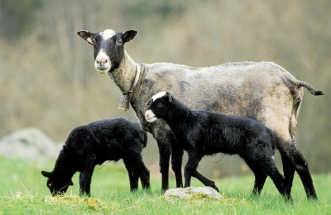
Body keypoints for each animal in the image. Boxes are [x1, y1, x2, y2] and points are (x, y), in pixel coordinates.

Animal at [147, 91, 292, 201]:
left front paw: (187, 189)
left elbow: (188, 169)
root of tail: (270, 134)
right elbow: (193, 169)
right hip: (250, 155)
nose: (146, 114)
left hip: (261, 153)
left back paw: (288, 201)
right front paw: (213, 186)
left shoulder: (195, 149)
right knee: (261, 174)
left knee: (277, 176)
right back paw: (254, 197)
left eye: (159, 104)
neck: (186, 120)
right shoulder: (198, 151)